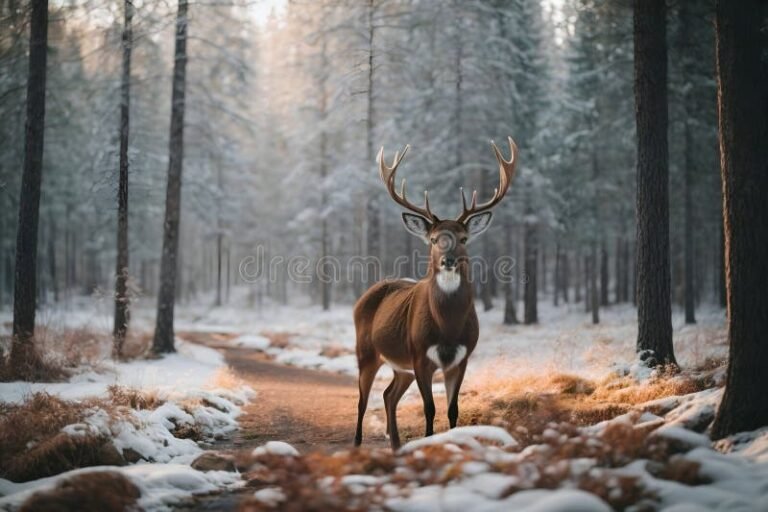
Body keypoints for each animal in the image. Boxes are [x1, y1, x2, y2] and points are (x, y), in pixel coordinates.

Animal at [353, 137, 518, 450]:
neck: (448, 328)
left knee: (388, 395)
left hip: (400, 366)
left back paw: (396, 445)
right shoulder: (420, 355)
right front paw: (429, 443)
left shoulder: (462, 358)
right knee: (362, 400)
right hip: (366, 351)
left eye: (464, 238)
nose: (449, 260)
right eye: (433, 239)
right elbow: (429, 409)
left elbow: (453, 410)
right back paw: (356, 445)